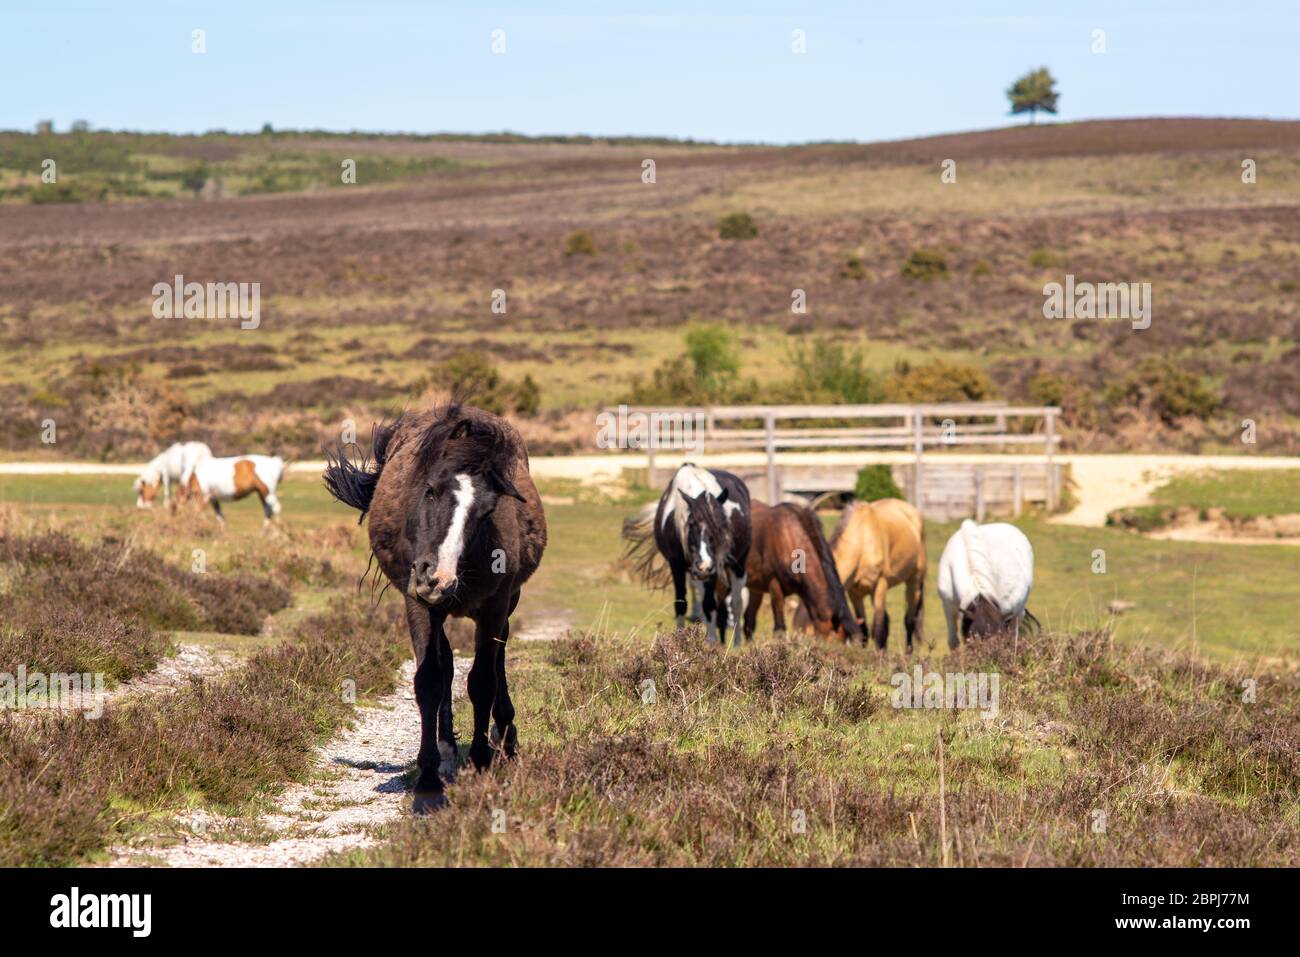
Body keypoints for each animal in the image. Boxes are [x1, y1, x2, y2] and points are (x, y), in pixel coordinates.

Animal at [330, 403, 548, 816]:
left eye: (487, 510)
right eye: (430, 492)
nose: (436, 578)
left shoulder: (495, 606)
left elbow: (482, 682)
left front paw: (480, 763)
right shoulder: (417, 604)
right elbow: (430, 680)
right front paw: (429, 782)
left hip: (505, 604)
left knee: (497, 660)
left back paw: (504, 737)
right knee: (445, 663)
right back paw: (447, 749)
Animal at [626, 462, 759, 647]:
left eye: (721, 526)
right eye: (691, 524)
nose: (703, 565)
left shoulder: (713, 569)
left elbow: (710, 605)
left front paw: (711, 642)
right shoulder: (677, 566)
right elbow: (681, 604)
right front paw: (681, 639)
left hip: (738, 564)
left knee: (736, 602)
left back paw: (736, 641)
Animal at [743, 501, 863, 642]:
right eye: (832, 642)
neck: (787, 536)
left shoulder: (805, 592)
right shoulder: (774, 584)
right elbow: (779, 626)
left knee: (749, 619)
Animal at [832, 501, 925, 650]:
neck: (863, 538)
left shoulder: (880, 586)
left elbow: (878, 630)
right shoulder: (854, 593)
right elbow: (863, 630)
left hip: (913, 582)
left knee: (909, 620)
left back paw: (908, 652)